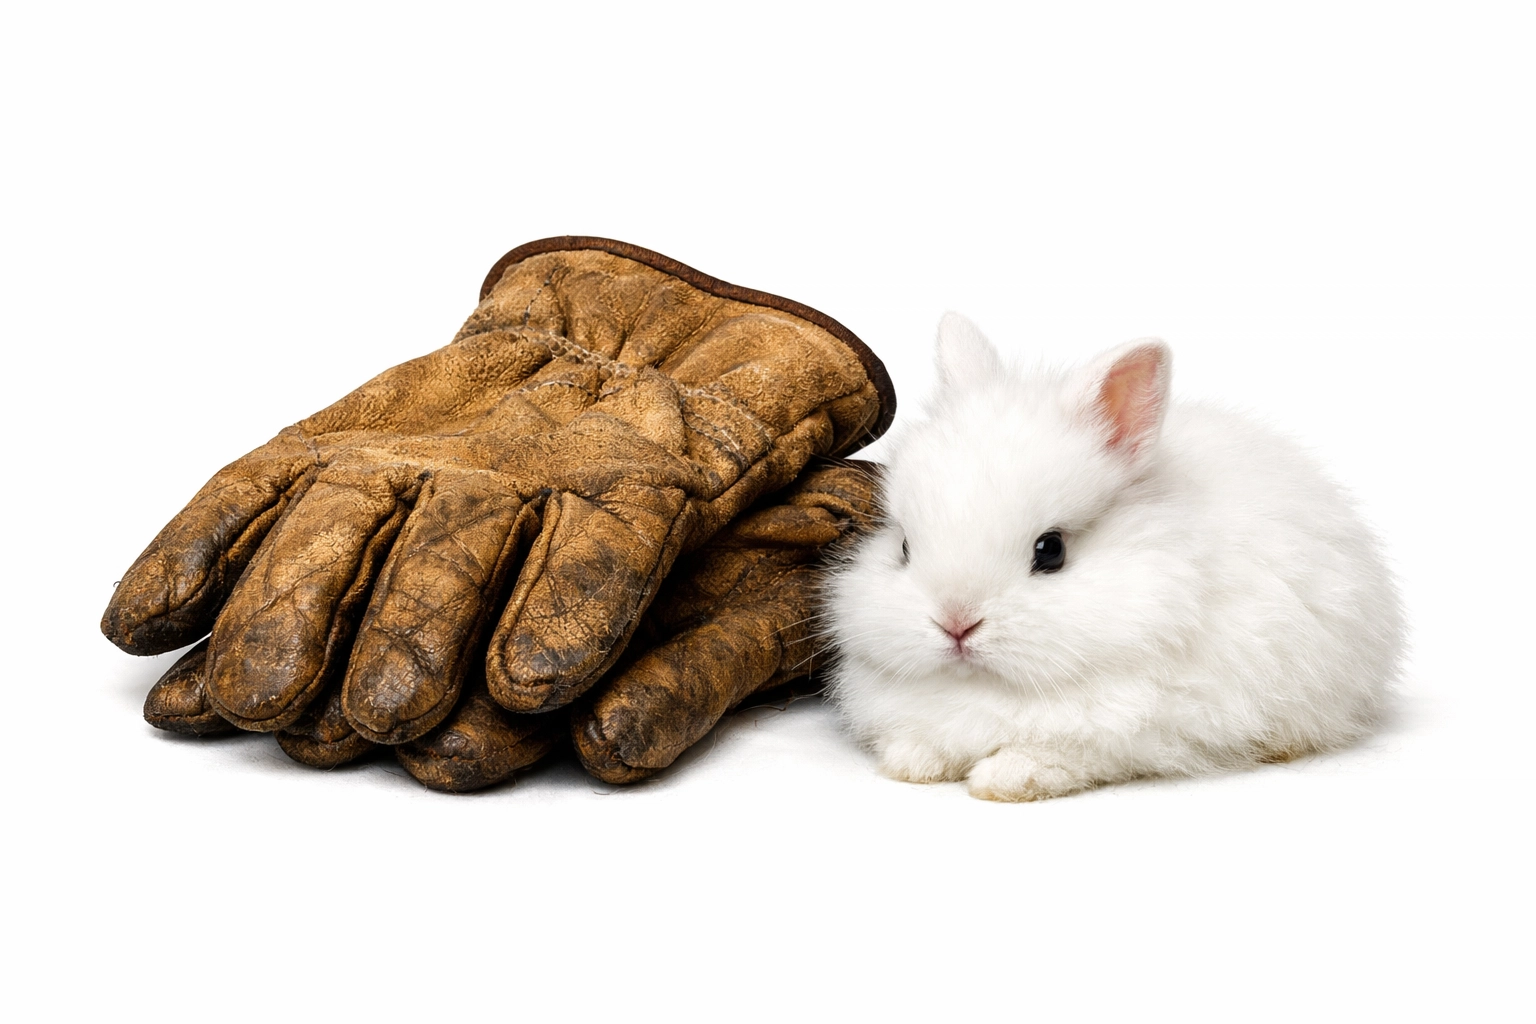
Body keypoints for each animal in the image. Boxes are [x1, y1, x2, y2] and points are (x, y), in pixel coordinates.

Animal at [824, 313, 1404, 801]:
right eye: (904, 547)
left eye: (1051, 550)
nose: (956, 624)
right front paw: (911, 764)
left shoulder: (1139, 730)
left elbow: (1063, 756)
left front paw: (1004, 780)